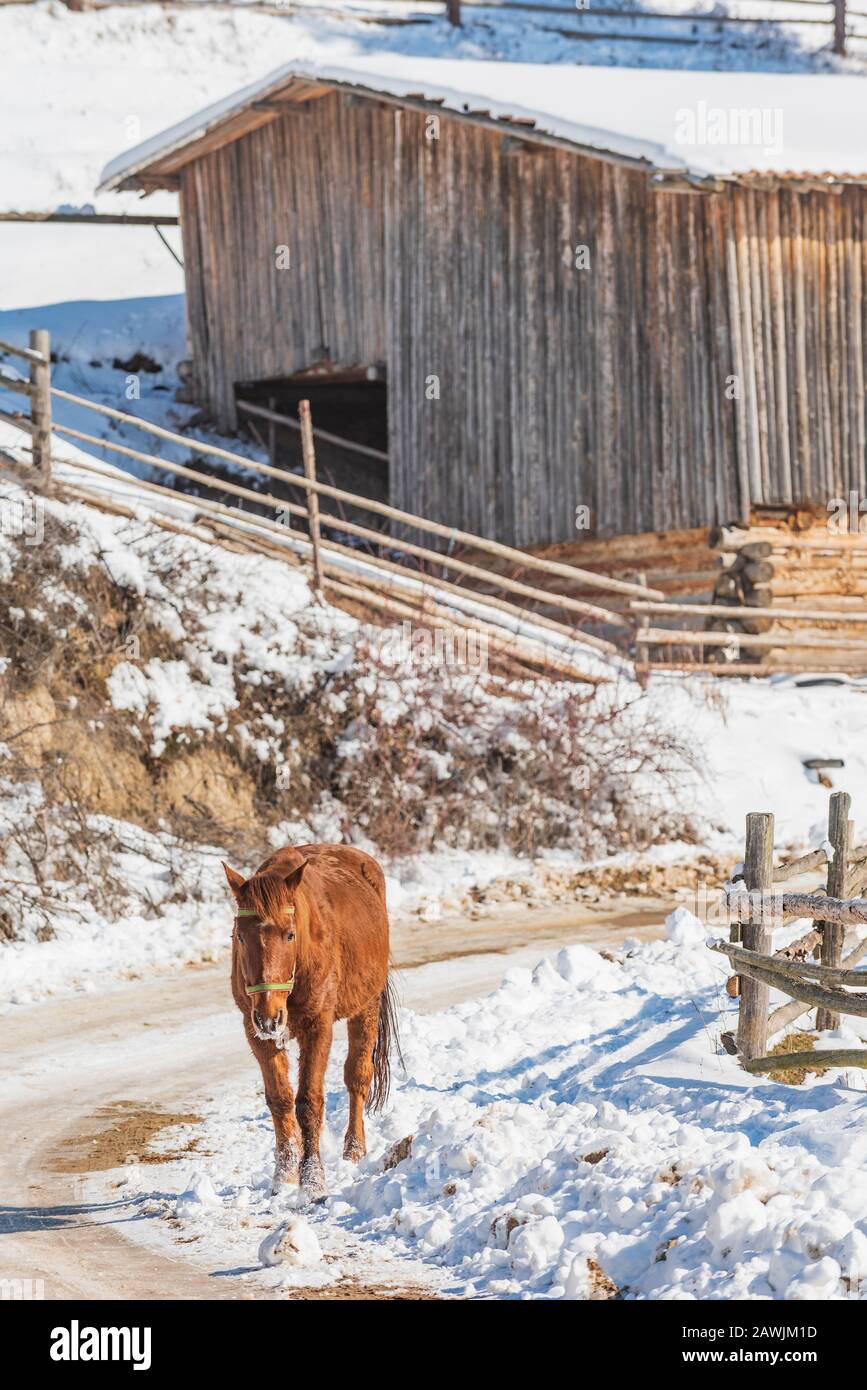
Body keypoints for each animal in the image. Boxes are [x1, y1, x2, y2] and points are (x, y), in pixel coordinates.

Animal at [223, 839, 400, 1200]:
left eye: (290, 935)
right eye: (240, 936)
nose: (269, 1015)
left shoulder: (317, 1026)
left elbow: (308, 1102)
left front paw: (313, 1181)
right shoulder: (255, 1032)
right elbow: (280, 1100)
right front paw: (284, 1177)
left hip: (367, 1006)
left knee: (357, 1077)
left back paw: (354, 1151)